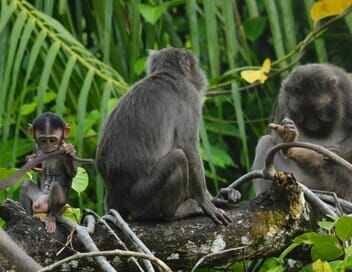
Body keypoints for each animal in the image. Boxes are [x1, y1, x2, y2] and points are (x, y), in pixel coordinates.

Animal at [253, 63, 352, 200]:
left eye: (317, 112)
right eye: (303, 114)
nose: (312, 124)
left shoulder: (347, 90)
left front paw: (327, 154)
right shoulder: (283, 98)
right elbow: (277, 138)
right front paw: (289, 137)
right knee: (266, 141)